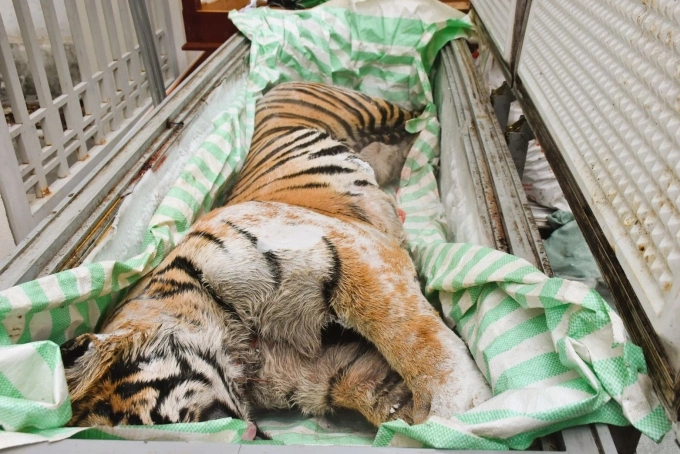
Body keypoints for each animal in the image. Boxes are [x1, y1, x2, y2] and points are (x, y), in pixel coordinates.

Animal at [60, 81, 492, 439]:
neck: (241, 345)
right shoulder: (331, 369)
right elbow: (382, 391)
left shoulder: (349, 254)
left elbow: (411, 336)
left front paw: (458, 409)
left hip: (365, 108)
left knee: (412, 112)